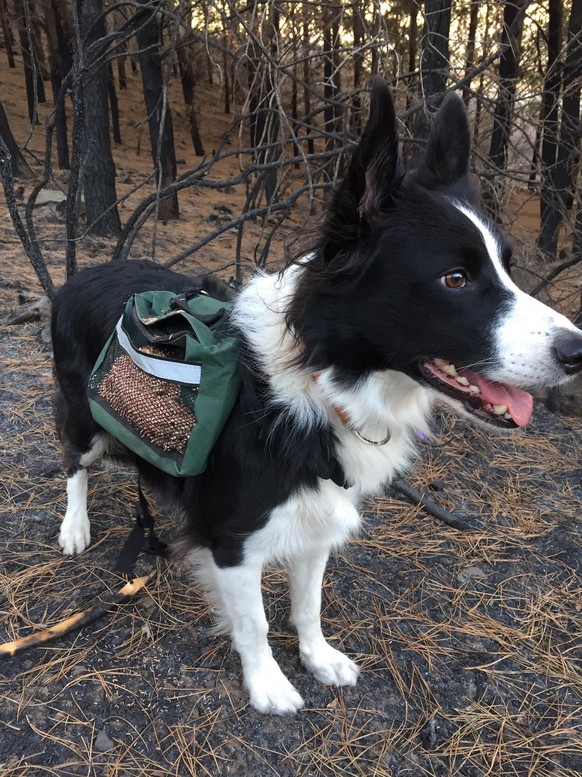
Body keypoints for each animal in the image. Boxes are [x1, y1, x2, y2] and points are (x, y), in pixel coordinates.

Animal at [52, 82, 582, 712]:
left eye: (506, 267)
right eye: (455, 279)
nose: (578, 350)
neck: (320, 386)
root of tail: (80, 274)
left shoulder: (317, 518)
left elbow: (309, 604)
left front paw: (317, 658)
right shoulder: (233, 538)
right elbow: (254, 622)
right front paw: (268, 683)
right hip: (82, 418)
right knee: (74, 464)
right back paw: (74, 527)